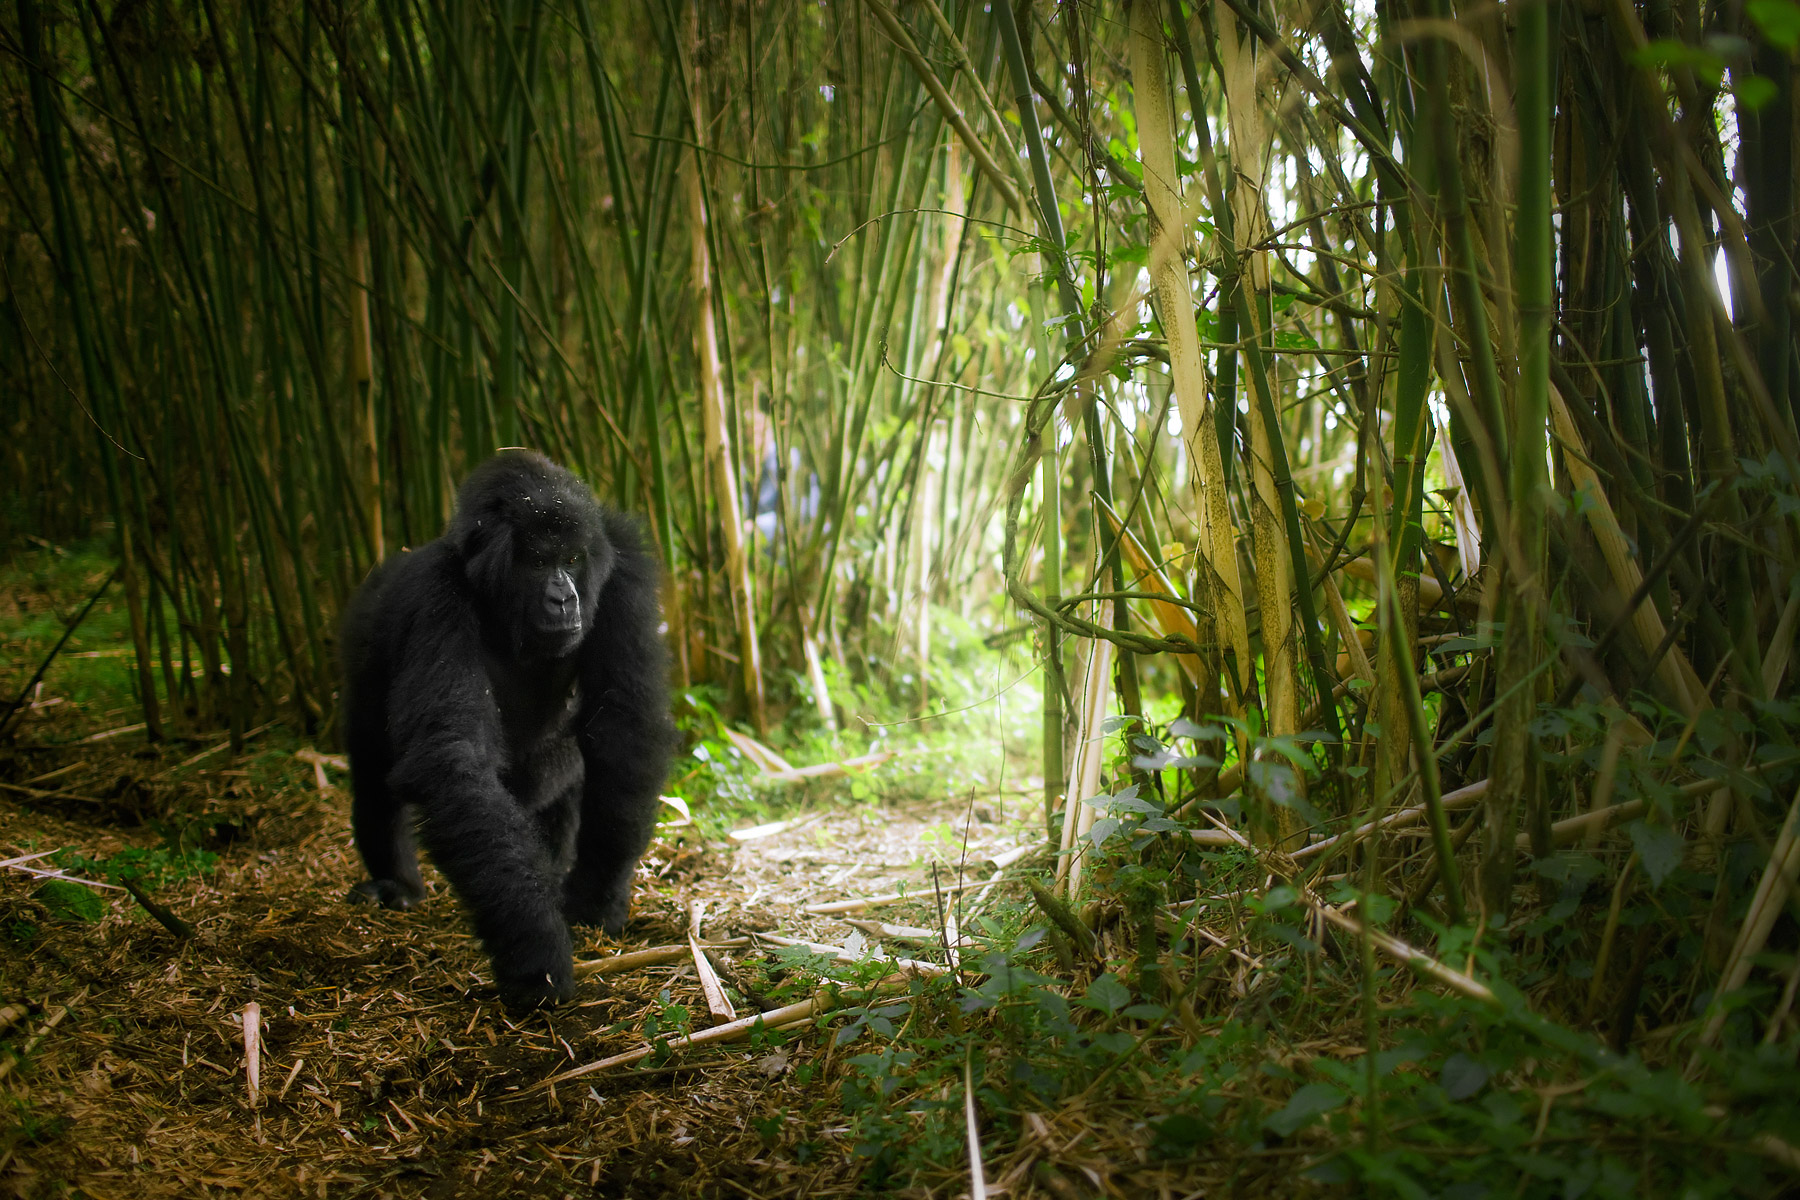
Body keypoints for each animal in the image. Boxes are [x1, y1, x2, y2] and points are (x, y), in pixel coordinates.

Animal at [338, 446, 676, 1007]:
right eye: (538, 562)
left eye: (572, 560)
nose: (564, 599)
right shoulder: (435, 592)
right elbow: (453, 759)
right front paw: (534, 943)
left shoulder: (623, 567)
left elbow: (622, 725)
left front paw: (596, 896)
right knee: (371, 771)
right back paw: (396, 885)